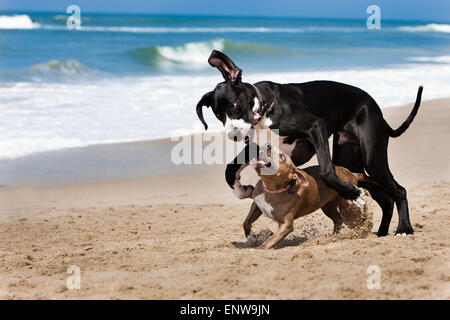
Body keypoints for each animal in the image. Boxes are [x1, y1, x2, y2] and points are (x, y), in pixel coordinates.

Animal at [196, 50, 422, 235]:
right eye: (218, 115)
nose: (233, 135)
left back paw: (404, 228)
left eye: (234, 105)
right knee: (386, 197)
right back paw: (382, 231)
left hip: (372, 159)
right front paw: (242, 190)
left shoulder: (315, 127)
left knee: (399, 191)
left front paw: (353, 193)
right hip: (350, 160)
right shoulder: (258, 148)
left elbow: (326, 172)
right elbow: (229, 169)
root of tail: (378, 111)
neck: (266, 108)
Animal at [244, 143, 374, 250]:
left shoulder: (286, 225)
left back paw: (362, 231)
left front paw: (258, 249)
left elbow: (271, 239)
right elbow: (246, 221)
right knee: (337, 219)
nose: (268, 145)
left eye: (282, 156)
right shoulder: (256, 204)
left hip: (347, 208)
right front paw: (251, 237)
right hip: (327, 206)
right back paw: (332, 236)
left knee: (356, 220)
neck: (272, 189)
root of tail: (352, 174)